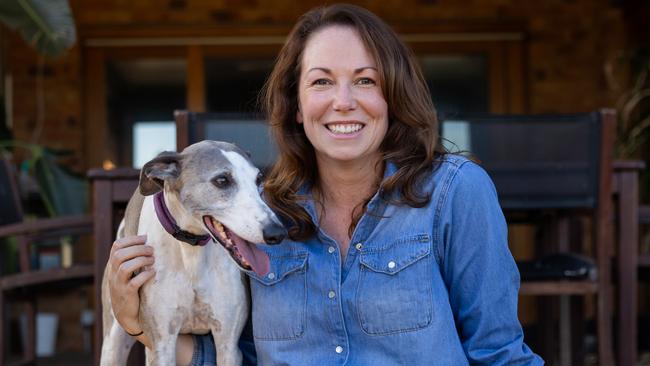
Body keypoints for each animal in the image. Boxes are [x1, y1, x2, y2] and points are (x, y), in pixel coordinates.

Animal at [99, 141, 286, 366]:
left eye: (258, 179)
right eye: (222, 180)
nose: (277, 232)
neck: (192, 251)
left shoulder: (228, 344)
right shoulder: (162, 345)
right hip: (113, 342)